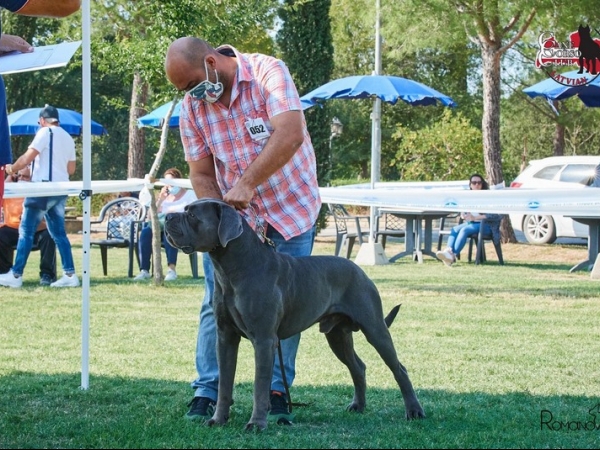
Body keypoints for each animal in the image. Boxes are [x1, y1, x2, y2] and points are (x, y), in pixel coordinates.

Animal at [165, 200, 426, 428]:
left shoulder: (264, 340)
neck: (234, 268)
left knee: (399, 369)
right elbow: (224, 384)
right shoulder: (225, 337)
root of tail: (358, 269)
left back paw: (414, 411)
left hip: (374, 328)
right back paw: (358, 406)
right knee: (358, 367)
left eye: (192, 215)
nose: (167, 216)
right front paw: (218, 420)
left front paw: (256, 424)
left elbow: (260, 386)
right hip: (337, 335)